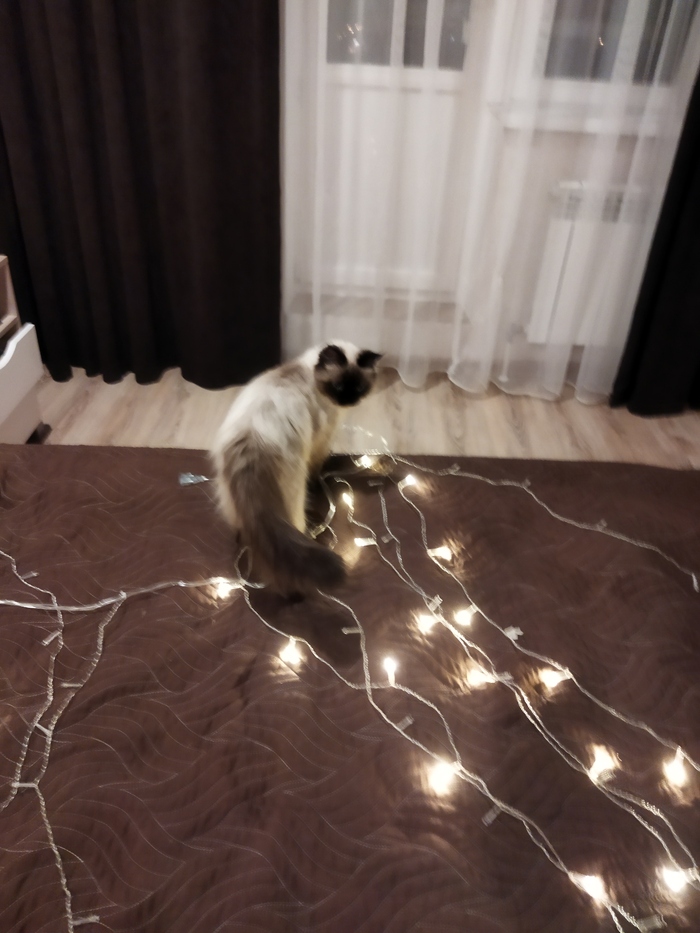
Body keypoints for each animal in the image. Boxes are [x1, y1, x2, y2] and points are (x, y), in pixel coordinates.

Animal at [211, 341, 382, 595]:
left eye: (359, 388)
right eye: (339, 387)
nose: (349, 401)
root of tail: (252, 441)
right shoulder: (321, 441)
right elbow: (317, 467)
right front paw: (320, 479)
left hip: (229, 492)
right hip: (294, 493)